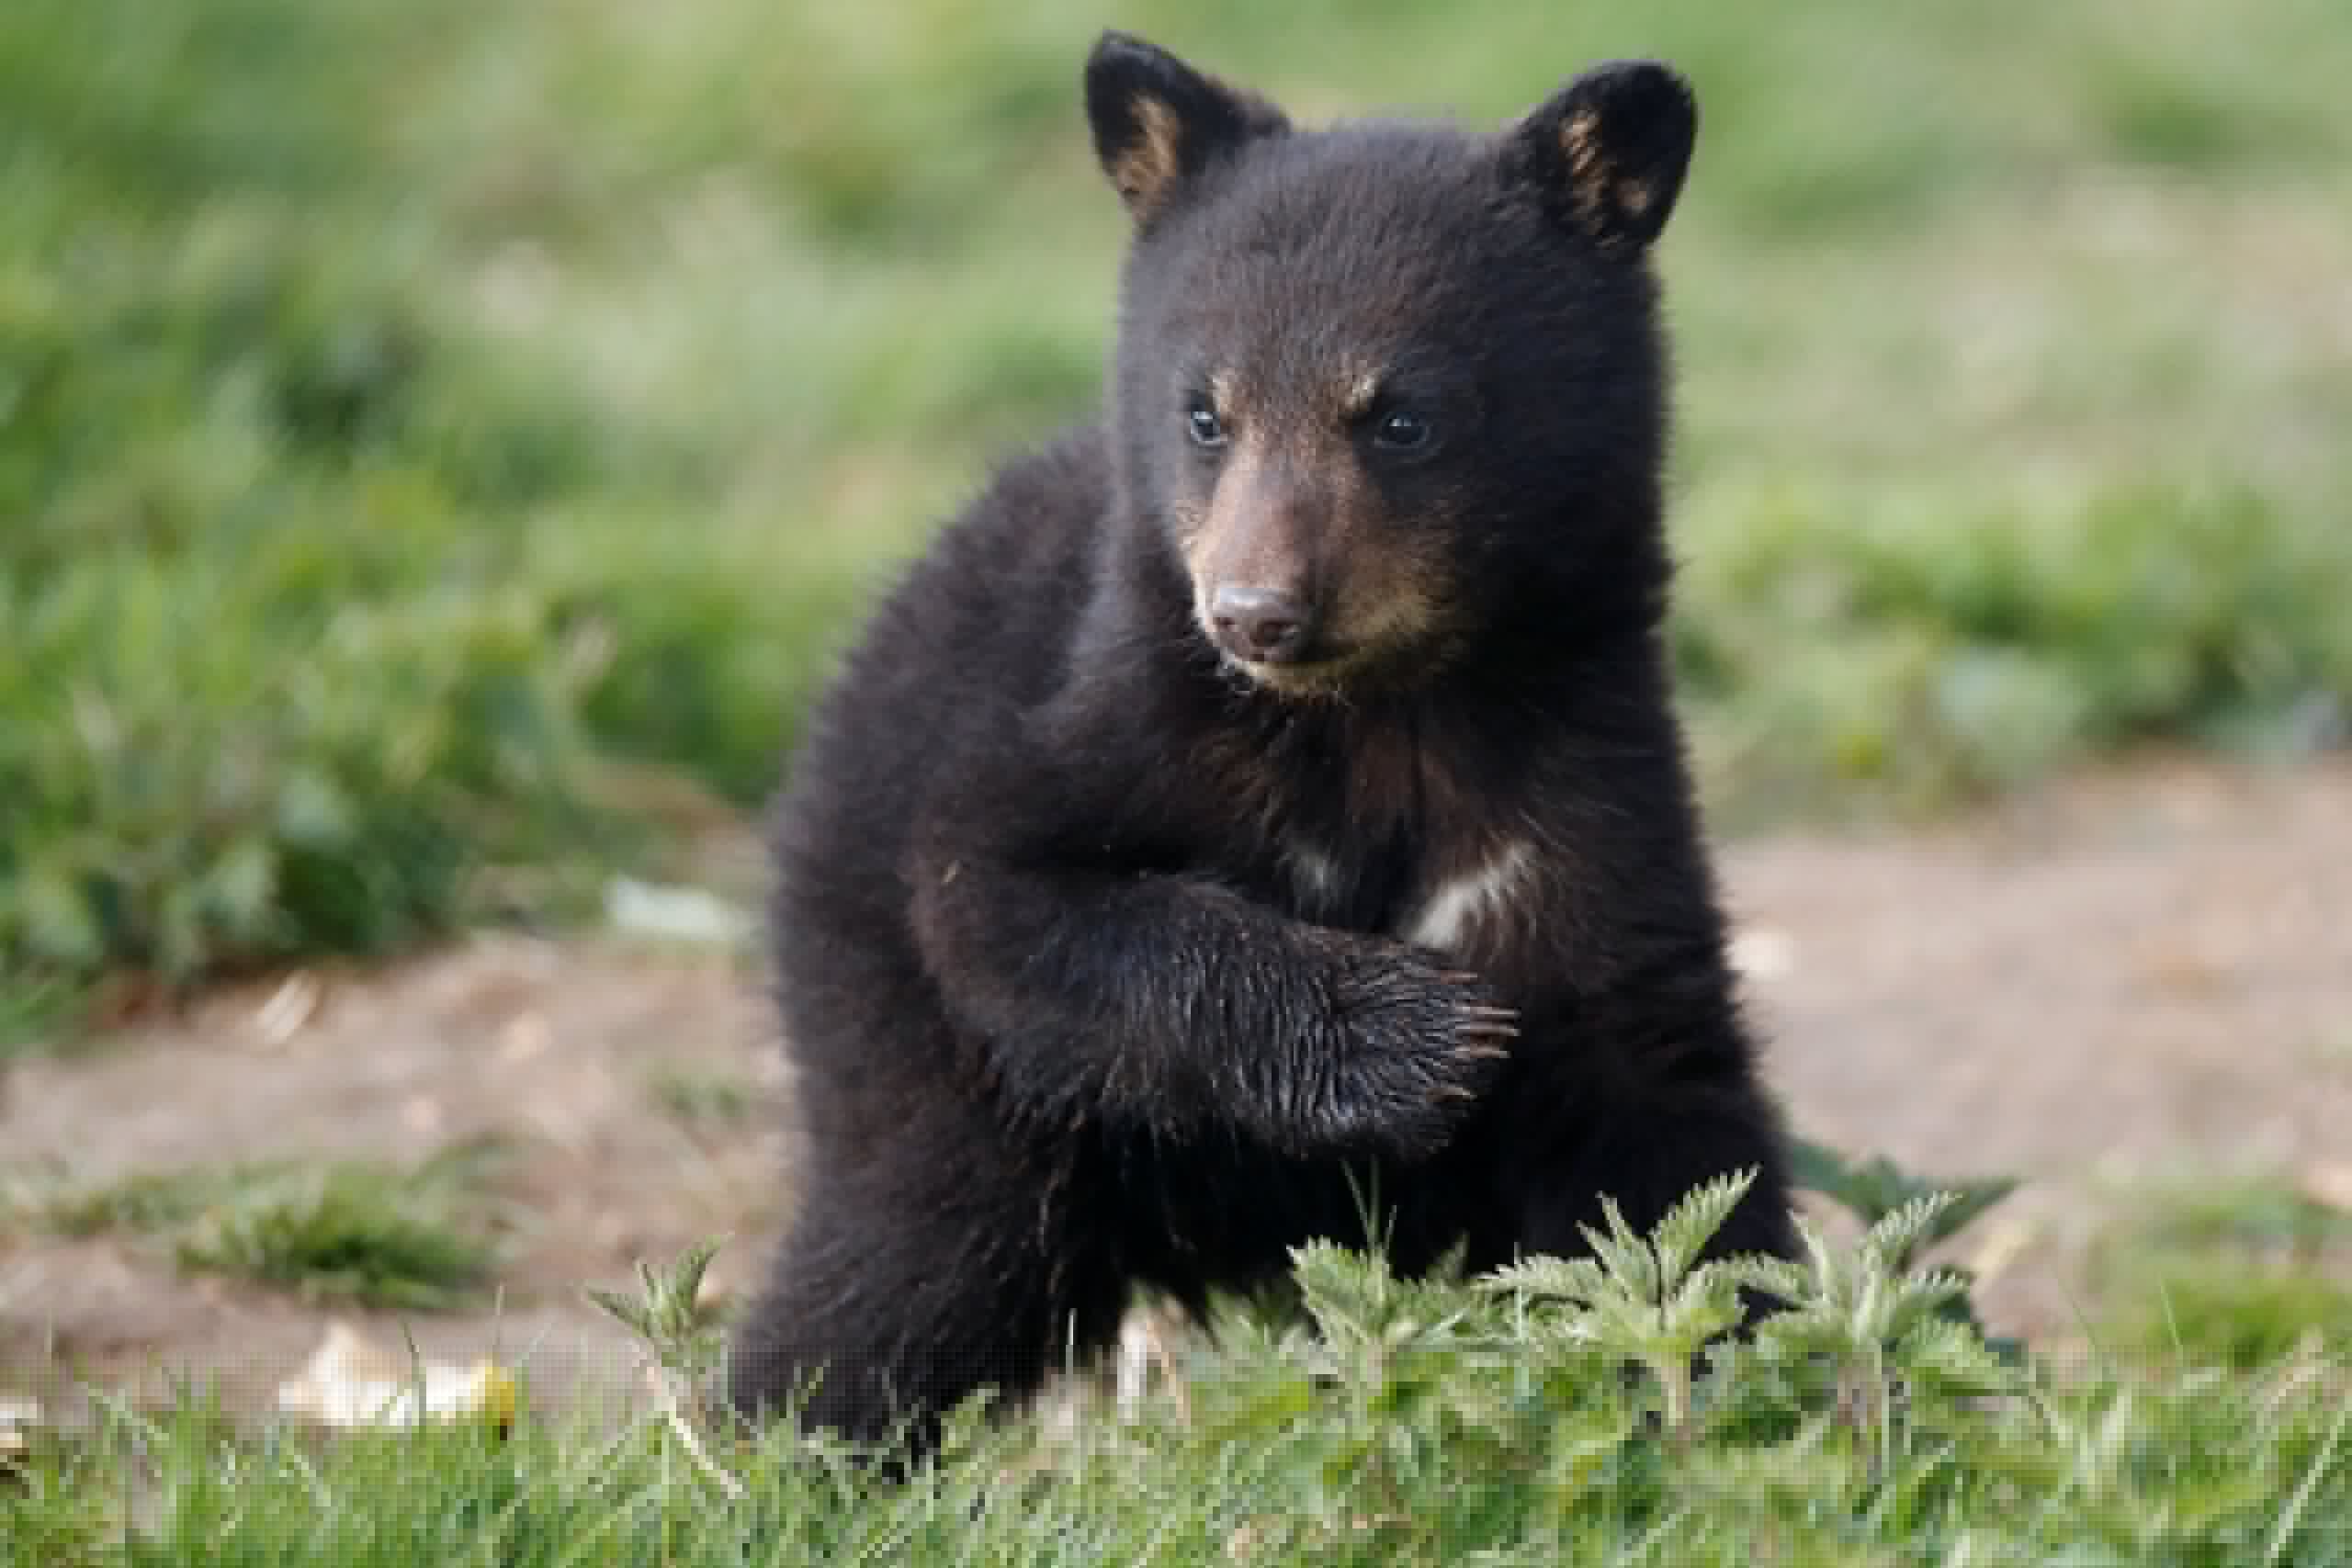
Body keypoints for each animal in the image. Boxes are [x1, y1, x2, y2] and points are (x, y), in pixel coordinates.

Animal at [726, 30, 1797, 1458]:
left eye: (1400, 414)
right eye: (1205, 412)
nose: (1255, 611)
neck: (1376, 714)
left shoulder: (1583, 783)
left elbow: (1665, 1122)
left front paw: (1766, 1393)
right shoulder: (1107, 721)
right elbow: (1012, 890)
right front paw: (1414, 1033)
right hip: (893, 1010)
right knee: (910, 1250)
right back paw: (758, 1448)